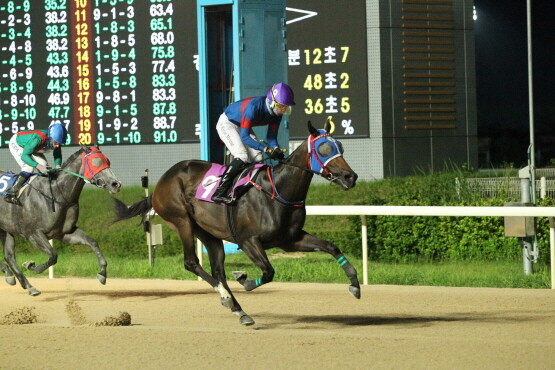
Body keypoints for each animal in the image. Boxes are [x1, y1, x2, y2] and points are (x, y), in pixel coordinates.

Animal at [113, 120, 360, 324]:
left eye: (341, 147)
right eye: (324, 148)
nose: (351, 177)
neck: (278, 190)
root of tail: (161, 182)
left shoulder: (290, 239)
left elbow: (331, 246)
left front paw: (355, 284)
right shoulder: (248, 240)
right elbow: (268, 272)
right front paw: (244, 279)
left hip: (208, 233)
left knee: (217, 270)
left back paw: (238, 309)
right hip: (182, 221)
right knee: (191, 262)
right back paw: (226, 297)